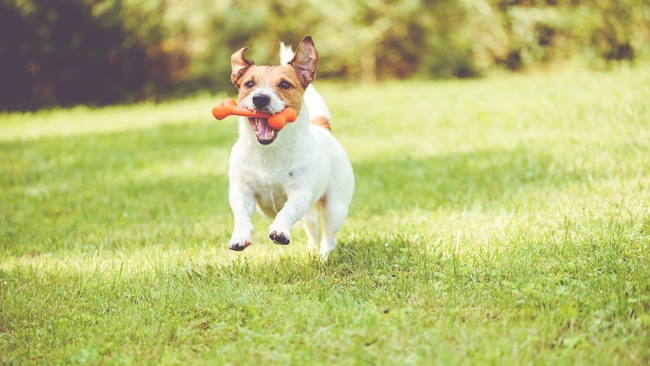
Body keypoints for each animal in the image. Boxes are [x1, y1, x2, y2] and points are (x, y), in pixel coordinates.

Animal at [224, 35, 354, 258]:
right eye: (249, 84)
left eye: (284, 84)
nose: (260, 98)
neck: (269, 152)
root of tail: (323, 127)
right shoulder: (241, 190)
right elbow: (240, 213)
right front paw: (240, 236)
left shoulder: (300, 193)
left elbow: (287, 211)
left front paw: (280, 231)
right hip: (310, 214)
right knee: (313, 227)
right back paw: (311, 249)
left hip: (335, 207)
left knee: (329, 235)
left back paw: (324, 255)